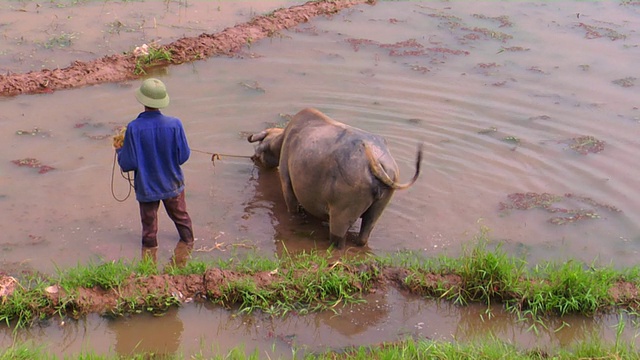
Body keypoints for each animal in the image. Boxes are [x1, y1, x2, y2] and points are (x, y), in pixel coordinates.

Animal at [248, 106, 422, 248]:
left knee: (338, 240)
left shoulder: (286, 181)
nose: (253, 158)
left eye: (260, 148)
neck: (285, 138)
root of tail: (374, 161)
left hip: (342, 215)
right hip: (377, 209)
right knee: (363, 236)